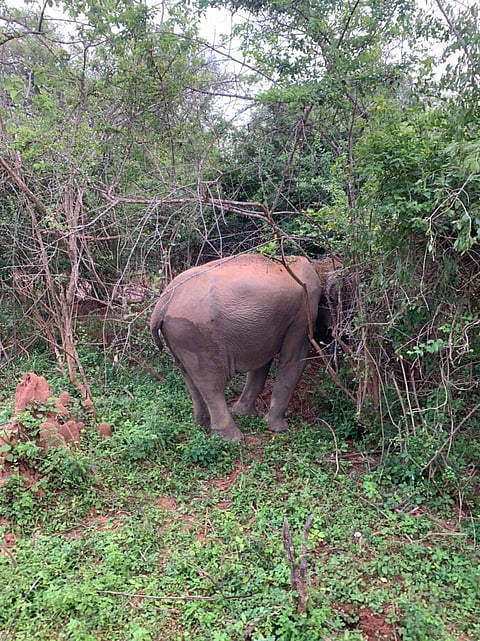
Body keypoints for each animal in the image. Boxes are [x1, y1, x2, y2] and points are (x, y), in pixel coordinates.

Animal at [150, 253, 344, 442]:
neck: (318, 265)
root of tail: (162, 304)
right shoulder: (303, 312)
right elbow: (293, 361)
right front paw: (277, 428)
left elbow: (261, 364)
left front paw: (246, 414)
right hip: (197, 336)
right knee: (212, 383)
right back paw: (231, 438)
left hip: (179, 338)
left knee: (190, 379)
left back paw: (202, 426)